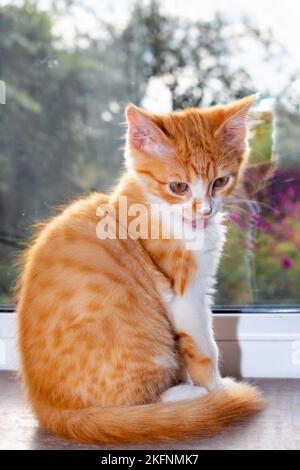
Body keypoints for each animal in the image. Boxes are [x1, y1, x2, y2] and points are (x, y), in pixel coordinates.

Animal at [16, 96, 262, 444]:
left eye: (220, 182)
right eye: (178, 186)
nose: (205, 211)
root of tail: (48, 408)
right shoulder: (184, 296)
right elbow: (204, 347)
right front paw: (217, 388)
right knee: (136, 405)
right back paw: (187, 396)